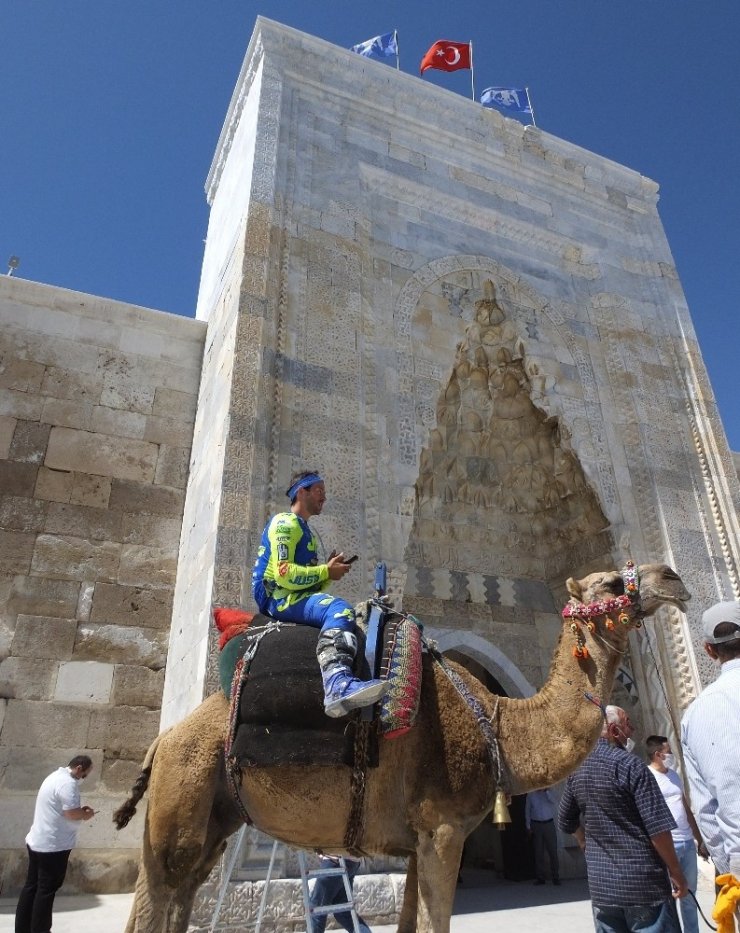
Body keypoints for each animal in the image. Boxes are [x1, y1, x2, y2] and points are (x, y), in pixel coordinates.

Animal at [114, 560, 688, 932]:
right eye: (610, 580)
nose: (673, 577)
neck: (498, 723)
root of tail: (163, 740)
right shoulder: (443, 828)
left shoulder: (417, 841)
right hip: (181, 798)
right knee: (154, 897)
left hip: (213, 815)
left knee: (179, 895)